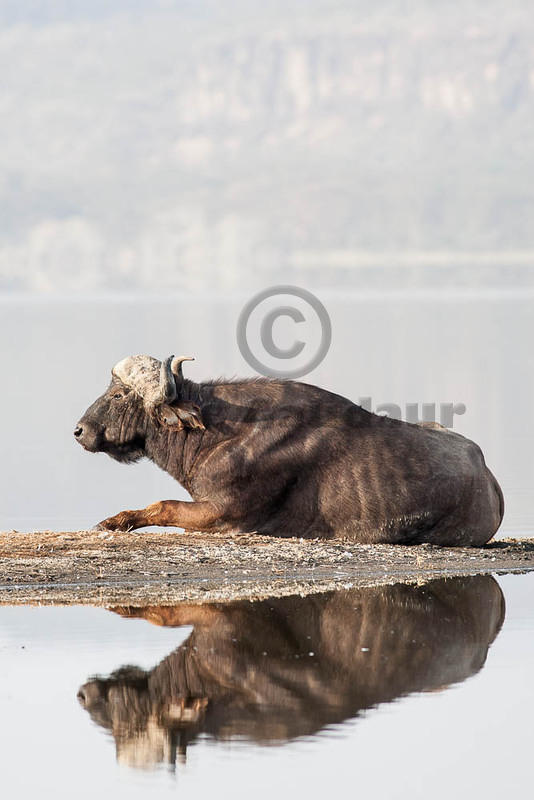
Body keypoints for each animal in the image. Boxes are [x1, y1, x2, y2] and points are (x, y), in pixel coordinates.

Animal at [75, 354, 506, 544]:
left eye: (118, 394)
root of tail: (489, 479)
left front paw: (113, 522)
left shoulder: (224, 514)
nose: (80, 431)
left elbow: (162, 506)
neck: (220, 431)